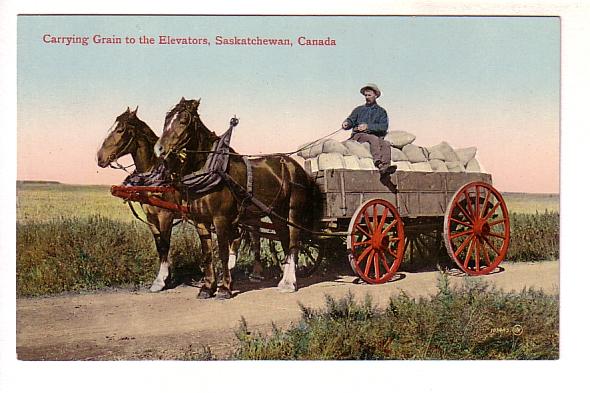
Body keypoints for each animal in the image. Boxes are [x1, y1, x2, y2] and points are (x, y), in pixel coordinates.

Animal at [97, 107, 264, 290]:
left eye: (120, 130)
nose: (99, 158)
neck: (157, 176)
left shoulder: (166, 215)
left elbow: (165, 245)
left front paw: (161, 280)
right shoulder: (151, 217)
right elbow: (159, 245)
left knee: (254, 237)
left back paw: (255, 273)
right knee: (238, 237)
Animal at [154, 97, 320, 298]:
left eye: (184, 120)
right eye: (166, 119)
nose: (159, 149)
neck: (212, 170)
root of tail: (295, 166)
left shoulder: (221, 219)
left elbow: (224, 253)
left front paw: (224, 288)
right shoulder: (201, 220)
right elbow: (207, 254)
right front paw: (207, 288)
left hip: (293, 211)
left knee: (295, 241)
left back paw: (290, 283)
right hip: (276, 214)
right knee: (286, 241)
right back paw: (284, 281)